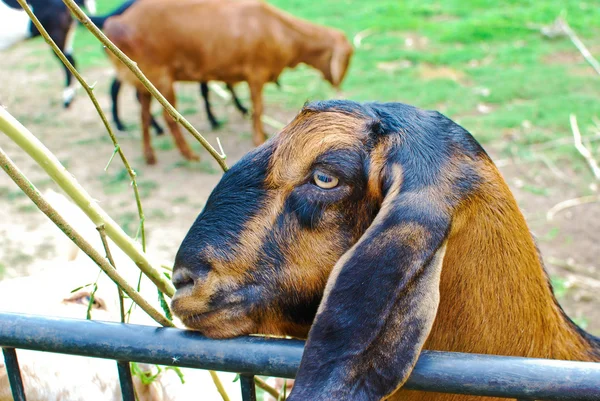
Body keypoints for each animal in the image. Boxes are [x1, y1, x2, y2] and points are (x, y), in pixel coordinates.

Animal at [103, 0, 354, 164]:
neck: (278, 29)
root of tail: (116, 24)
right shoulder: (256, 74)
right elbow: (258, 108)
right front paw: (259, 138)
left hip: (144, 78)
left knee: (144, 115)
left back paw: (150, 155)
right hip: (160, 78)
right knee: (168, 118)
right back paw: (189, 154)